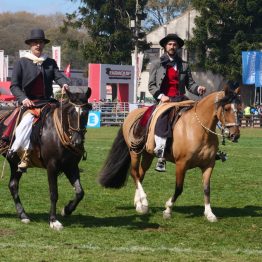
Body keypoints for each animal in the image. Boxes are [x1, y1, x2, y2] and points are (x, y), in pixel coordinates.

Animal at [0, 87, 91, 230]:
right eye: (71, 113)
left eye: (86, 113)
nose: (77, 141)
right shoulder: (52, 166)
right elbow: (54, 193)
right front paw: (53, 220)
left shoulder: (71, 166)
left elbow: (80, 192)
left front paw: (67, 210)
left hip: (15, 164)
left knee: (13, 185)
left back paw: (23, 215)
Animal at [100, 85, 242, 222]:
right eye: (226, 108)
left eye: (239, 109)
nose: (235, 135)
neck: (199, 129)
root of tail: (132, 114)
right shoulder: (181, 164)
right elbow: (179, 188)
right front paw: (168, 210)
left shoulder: (208, 165)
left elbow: (207, 189)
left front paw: (209, 214)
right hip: (135, 152)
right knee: (134, 173)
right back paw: (144, 202)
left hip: (148, 154)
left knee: (140, 174)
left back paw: (139, 205)